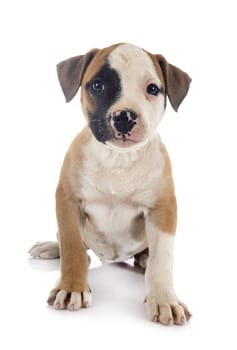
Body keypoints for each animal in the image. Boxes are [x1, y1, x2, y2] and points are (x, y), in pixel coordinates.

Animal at [30, 43, 193, 326]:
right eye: (97, 85)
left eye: (152, 89)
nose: (124, 117)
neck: (118, 159)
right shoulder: (67, 199)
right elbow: (72, 244)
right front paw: (71, 287)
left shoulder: (163, 208)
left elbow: (162, 258)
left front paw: (165, 299)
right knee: (74, 246)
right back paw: (51, 247)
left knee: (149, 256)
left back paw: (144, 259)